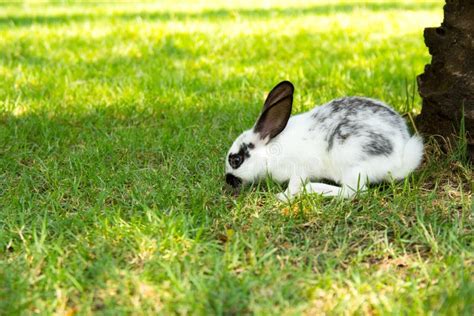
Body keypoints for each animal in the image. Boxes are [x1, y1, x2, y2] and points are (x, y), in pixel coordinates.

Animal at [224, 81, 424, 200]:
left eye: (236, 160)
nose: (228, 180)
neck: (270, 150)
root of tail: (399, 159)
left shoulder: (299, 169)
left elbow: (294, 184)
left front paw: (282, 197)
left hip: (351, 163)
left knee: (353, 192)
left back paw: (313, 188)